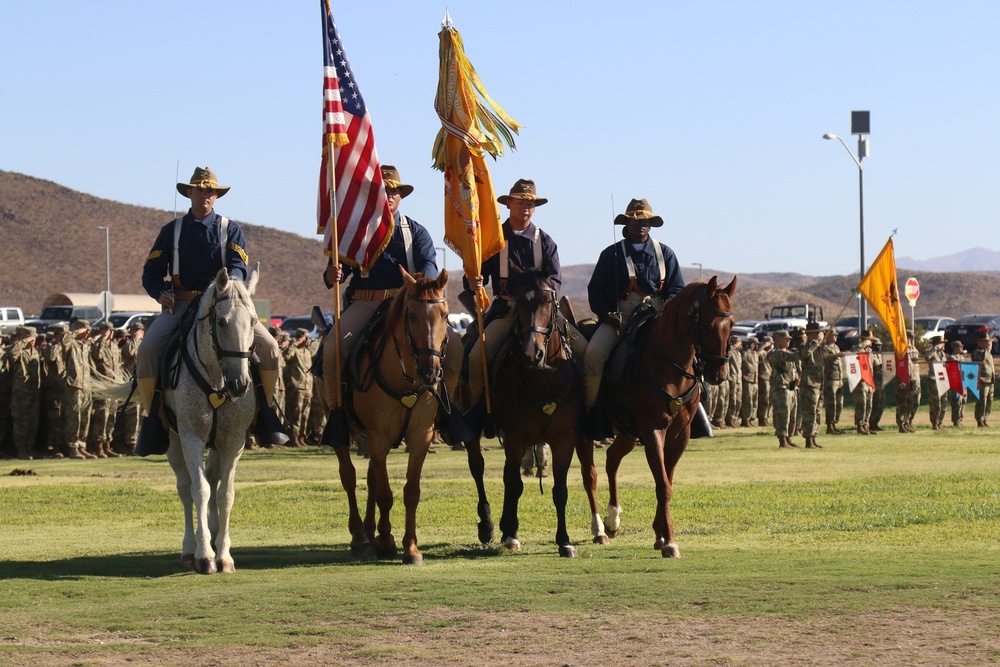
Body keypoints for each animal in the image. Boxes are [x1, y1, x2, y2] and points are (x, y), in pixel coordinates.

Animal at [332, 268, 450, 568]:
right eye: (412, 315)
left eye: (445, 314)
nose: (431, 371)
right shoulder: (378, 435)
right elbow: (385, 494)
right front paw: (385, 541)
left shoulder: (421, 436)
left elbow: (411, 492)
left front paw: (411, 548)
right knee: (349, 476)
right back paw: (361, 538)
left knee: (372, 476)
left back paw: (370, 532)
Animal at [462, 266, 608, 560]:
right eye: (519, 303)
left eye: (548, 301)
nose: (533, 352)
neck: (543, 379)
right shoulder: (515, 438)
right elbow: (515, 484)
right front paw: (511, 536)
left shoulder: (564, 440)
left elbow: (560, 490)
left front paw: (565, 541)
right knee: (480, 468)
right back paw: (490, 526)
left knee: (589, 475)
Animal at [600, 276, 736, 560]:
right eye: (707, 324)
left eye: (731, 324)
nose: (719, 374)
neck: (672, 367)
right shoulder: (654, 431)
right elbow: (662, 484)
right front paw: (670, 542)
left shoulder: (679, 435)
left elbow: (667, 480)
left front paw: (661, 534)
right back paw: (599, 529)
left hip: (628, 433)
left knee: (611, 460)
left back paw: (612, 521)